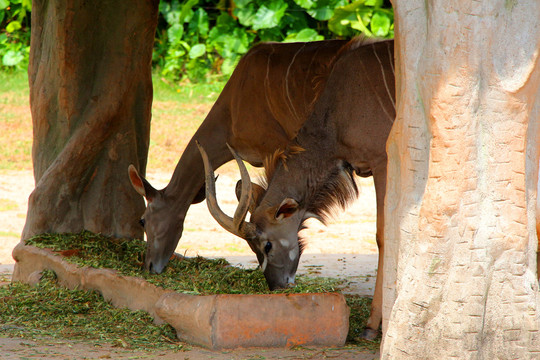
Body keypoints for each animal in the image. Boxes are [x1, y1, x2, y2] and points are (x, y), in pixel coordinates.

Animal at [200, 40, 394, 340]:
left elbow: (383, 236)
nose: (278, 286)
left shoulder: (382, 162)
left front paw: (372, 327)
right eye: (251, 247)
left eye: (267, 244)